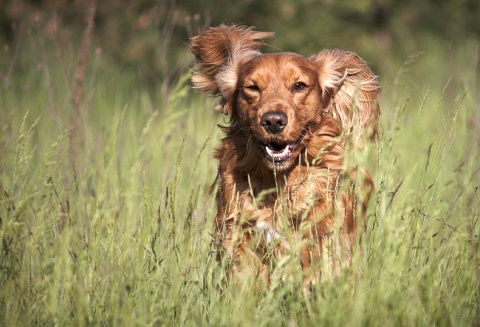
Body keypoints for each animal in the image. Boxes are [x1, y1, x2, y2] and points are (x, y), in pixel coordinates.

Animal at [189, 25, 380, 288]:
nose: (273, 120)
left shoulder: (321, 227)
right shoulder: (241, 232)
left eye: (299, 86)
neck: (278, 180)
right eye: (252, 88)